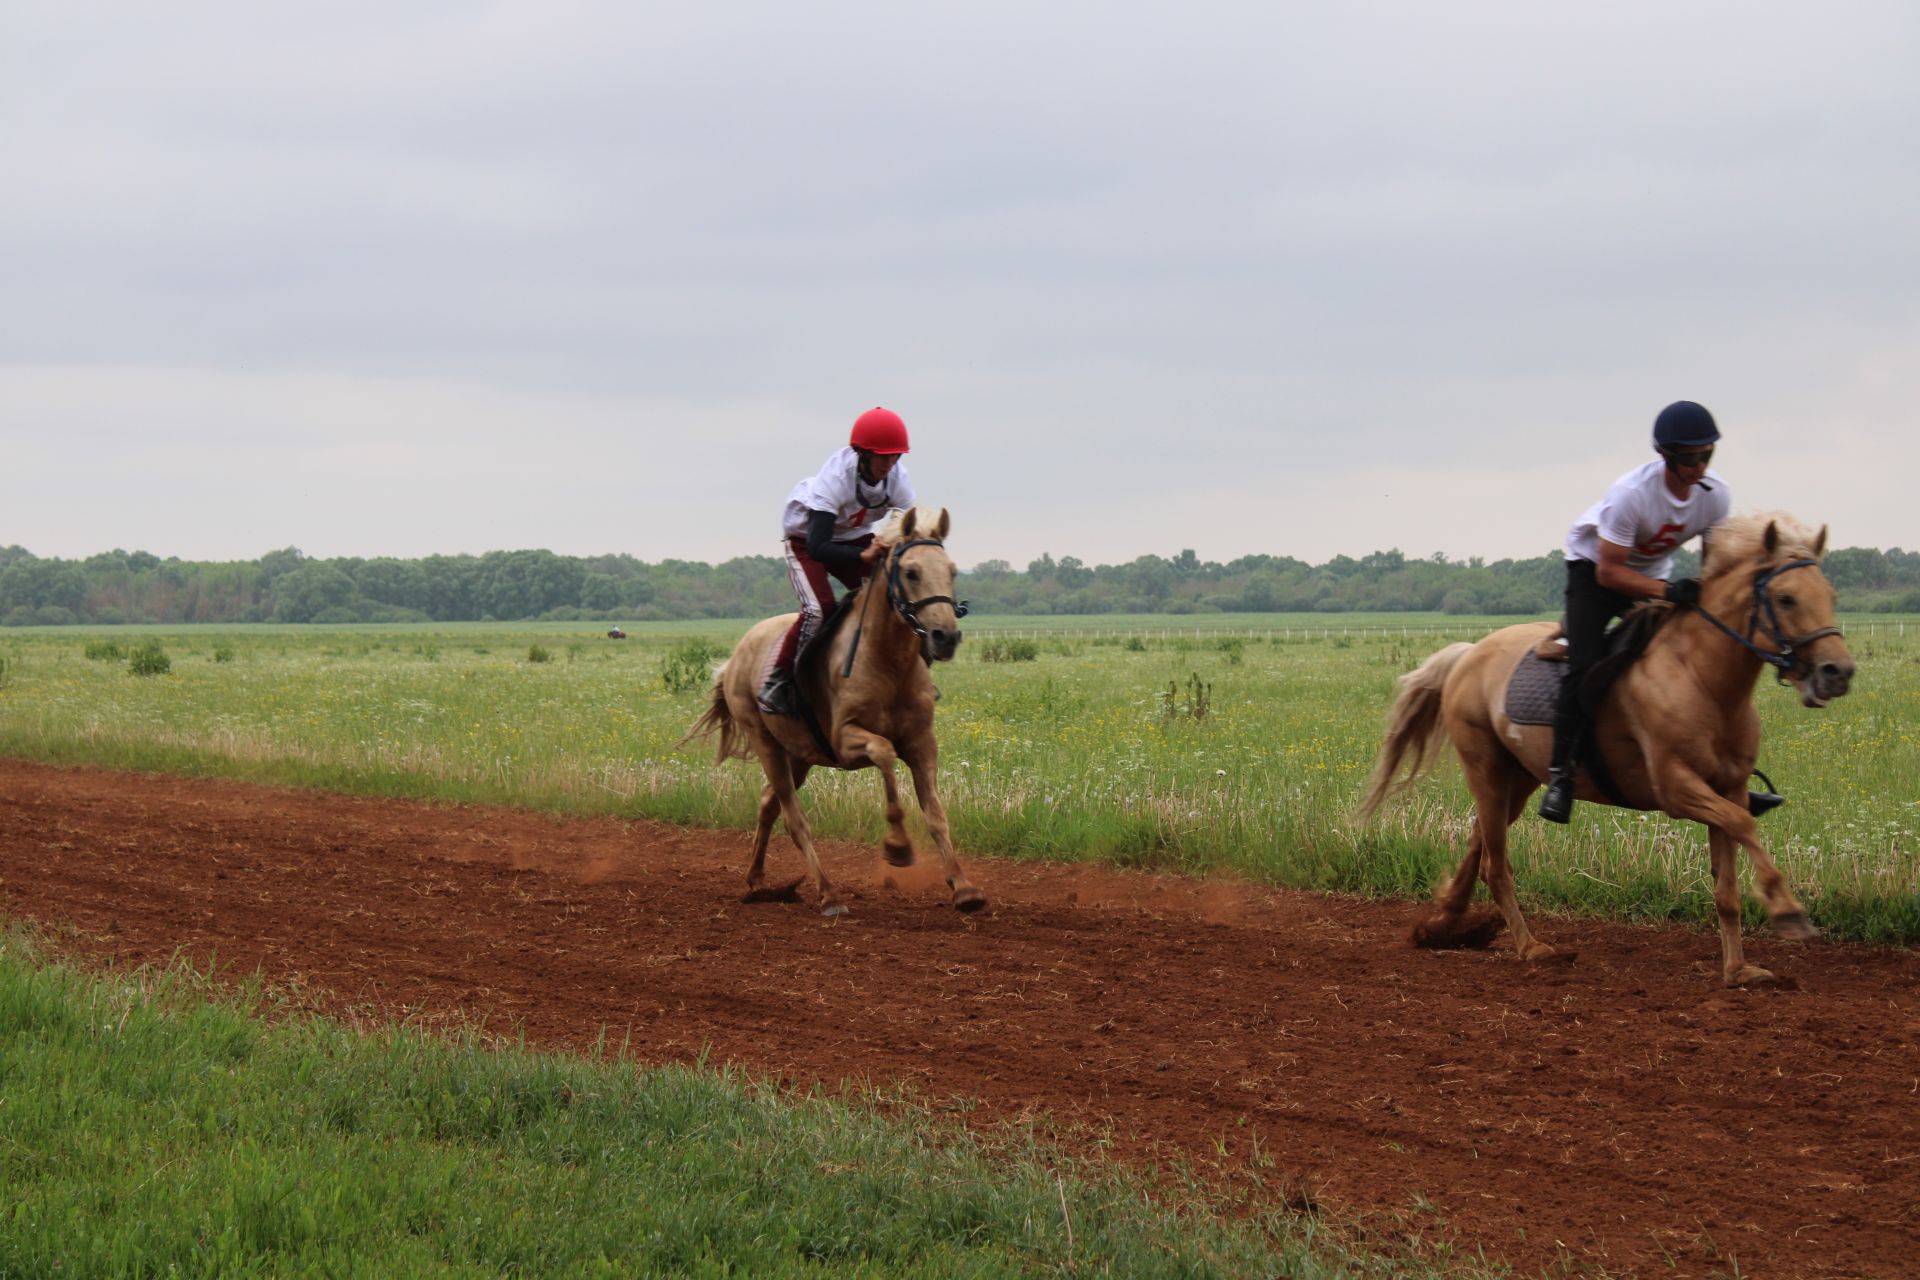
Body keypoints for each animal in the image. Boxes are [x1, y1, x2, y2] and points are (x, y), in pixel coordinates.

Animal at [683, 506, 983, 917]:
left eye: (952, 570)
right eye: (911, 572)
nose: (946, 637)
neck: (888, 663)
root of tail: (735, 657)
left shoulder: (922, 744)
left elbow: (936, 816)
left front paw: (964, 887)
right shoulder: (846, 741)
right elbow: (885, 753)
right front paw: (898, 846)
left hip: (798, 754)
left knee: (768, 805)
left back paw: (757, 881)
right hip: (766, 744)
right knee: (795, 820)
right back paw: (829, 894)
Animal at [1359, 514, 1850, 990]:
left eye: (1830, 594)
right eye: (1786, 599)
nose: (1838, 672)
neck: (1704, 682)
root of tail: (1469, 654)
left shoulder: (1728, 788)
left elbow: (1727, 883)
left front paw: (1738, 970)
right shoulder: (1677, 789)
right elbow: (1745, 824)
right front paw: (1787, 910)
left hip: (1518, 780)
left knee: (1480, 844)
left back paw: (1447, 922)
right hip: (1485, 769)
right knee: (1496, 865)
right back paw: (1529, 946)